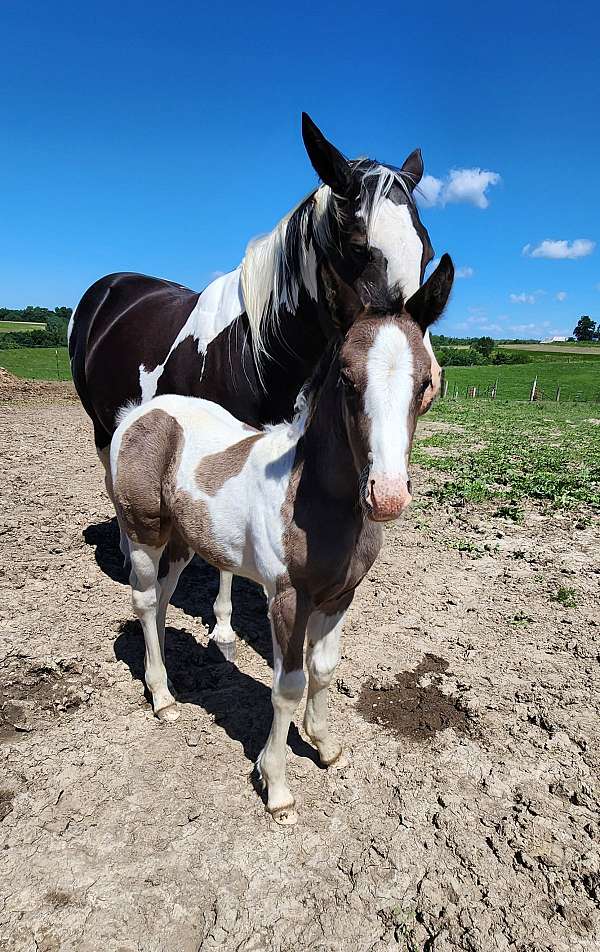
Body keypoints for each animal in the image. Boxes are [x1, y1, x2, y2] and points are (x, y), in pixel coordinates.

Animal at [70, 111, 436, 660]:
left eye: (427, 251)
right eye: (357, 247)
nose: (431, 381)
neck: (257, 350)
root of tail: (109, 286)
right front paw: (222, 630)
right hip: (101, 423)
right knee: (113, 480)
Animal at [110, 256, 452, 820]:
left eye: (426, 382)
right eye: (346, 376)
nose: (387, 496)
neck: (313, 495)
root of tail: (138, 414)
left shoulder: (339, 596)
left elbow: (325, 668)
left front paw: (326, 745)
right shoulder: (288, 600)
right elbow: (287, 685)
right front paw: (276, 786)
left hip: (183, 541)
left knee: (161, 598)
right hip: (144, 533)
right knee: (142, 598)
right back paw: (161, 697)